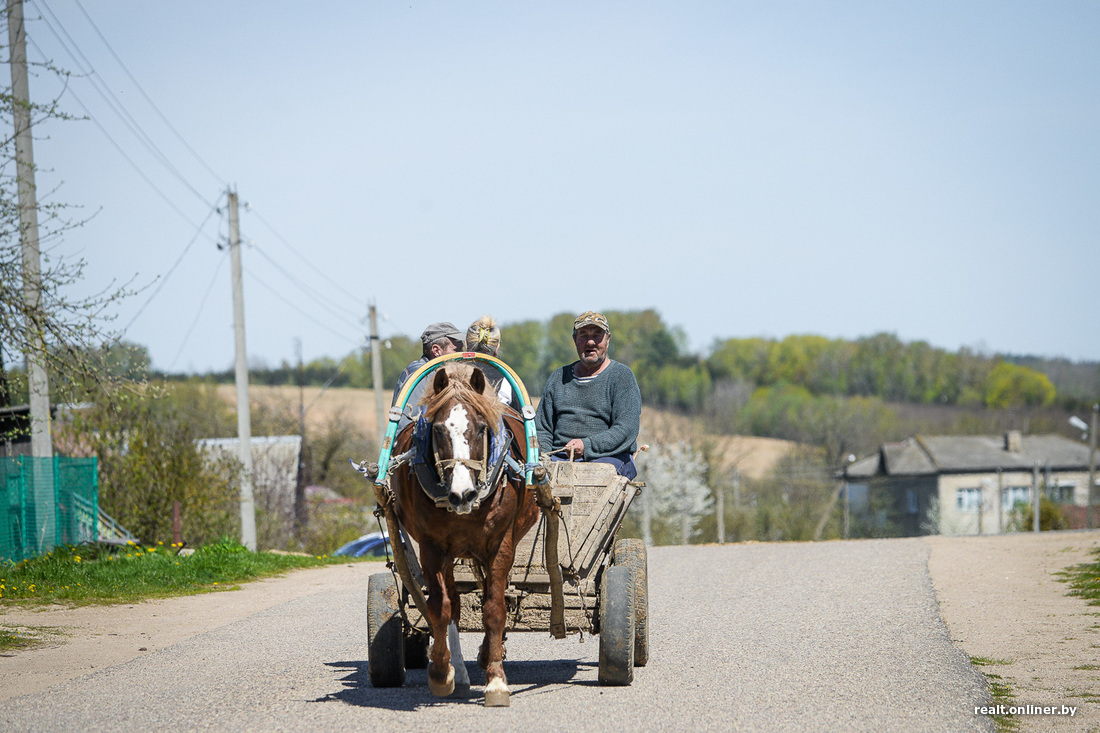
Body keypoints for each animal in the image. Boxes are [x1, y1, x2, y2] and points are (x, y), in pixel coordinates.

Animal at [389, 363, 539, 704]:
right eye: (438, 429)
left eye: (481, 428)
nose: (462, 495)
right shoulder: (432, 547)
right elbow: (439, 608)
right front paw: (441, 672)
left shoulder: (501, 545)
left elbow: (494, 608)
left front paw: (496, 679)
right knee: (454, 604)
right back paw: (458, 669)